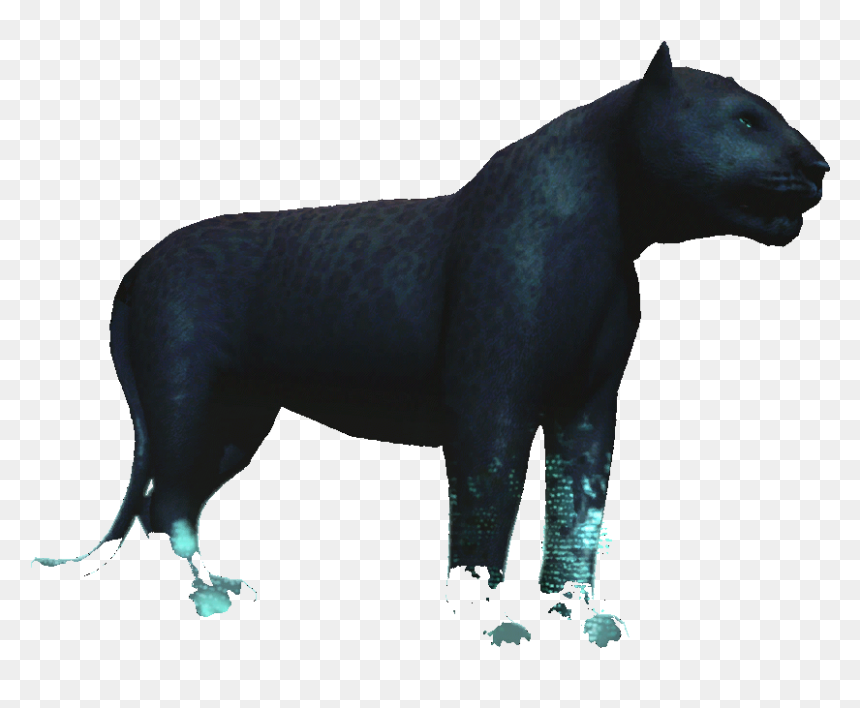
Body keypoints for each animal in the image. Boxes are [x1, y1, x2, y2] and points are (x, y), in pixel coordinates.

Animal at [33, 41, 828, 619]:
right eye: (748, 120)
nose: (820, 164)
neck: (614, 234)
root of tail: (136, 268)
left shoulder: (586, 403)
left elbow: (578, 508)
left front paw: (571, 614)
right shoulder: (490, 402)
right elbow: (486, 505)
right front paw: (478, 621)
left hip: (238, 420)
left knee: (168, 503)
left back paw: (225, 587)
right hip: (185, 400)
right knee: (166, 502)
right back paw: (212, 597)